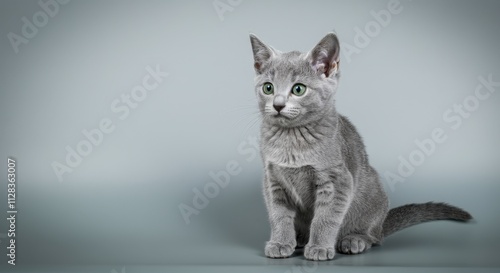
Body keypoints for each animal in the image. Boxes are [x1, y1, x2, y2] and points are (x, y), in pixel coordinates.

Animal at [250, 31, 472, 260]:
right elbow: (279, 215)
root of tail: (382, 225)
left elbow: (325, 218)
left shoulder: (337, 180)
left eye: (298, 89)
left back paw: (353, 240)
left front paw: (319, 247)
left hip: (372, 192)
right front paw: (280, 243)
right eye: (268, 88)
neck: (290, 139)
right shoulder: (273, 180)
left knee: (373, 236)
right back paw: (300, 240)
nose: (277, 105)